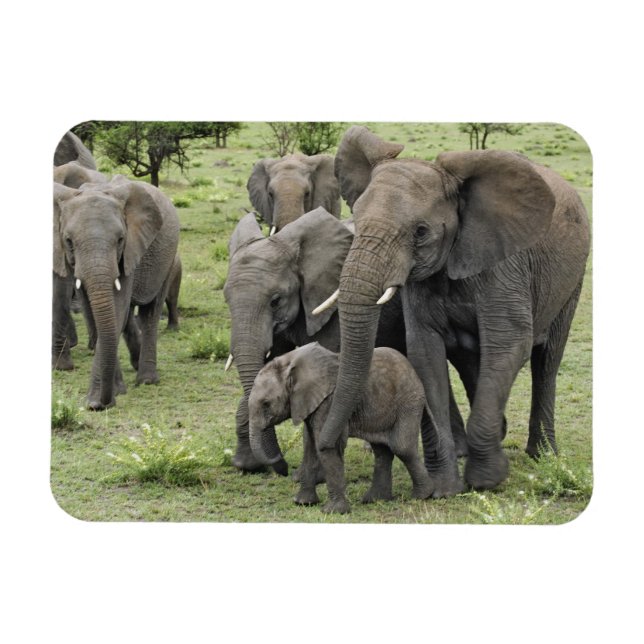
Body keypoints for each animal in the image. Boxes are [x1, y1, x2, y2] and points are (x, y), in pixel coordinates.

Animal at [53, 174, 180, 409]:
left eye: (120, 240)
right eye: (68, 241)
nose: (103, 403)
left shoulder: (129, 250)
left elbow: (117, 307)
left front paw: (97, 402)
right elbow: (94, 313)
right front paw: (114, 393)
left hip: (169, 257)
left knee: (151, 312)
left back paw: (146, 380)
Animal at [223, 207, 407, 477]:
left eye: (275, 301)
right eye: (226, 300)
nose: (281, 466)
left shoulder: (332, 307)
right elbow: (264, 370)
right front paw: (246, 466)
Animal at [249, 343, 434, 514]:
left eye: (266, 403)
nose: (280, 459)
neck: (290, 361)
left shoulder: (328, 402)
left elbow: (327, 448)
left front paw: (332, 511)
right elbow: (309, 446)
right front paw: (302, 503)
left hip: (409, 402)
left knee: (402, 447)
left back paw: (422, 496)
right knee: (382, 450)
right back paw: (375, 499)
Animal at [316, 125, 590, 496]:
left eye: (420, 232)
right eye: (355, 219)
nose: (328, 445)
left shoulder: (504, 267)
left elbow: (509, 344)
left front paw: (487, 480)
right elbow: (425, 354)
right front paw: (444, 488)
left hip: (572, 278)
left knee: (547, 360)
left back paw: (543, 455)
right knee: (471, 361)